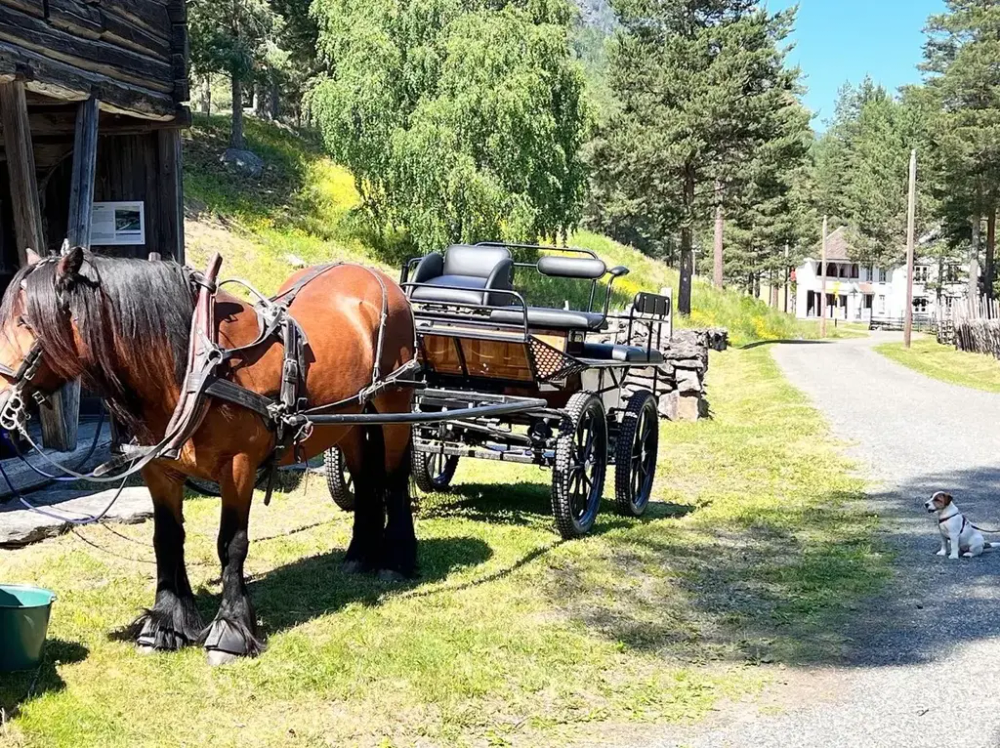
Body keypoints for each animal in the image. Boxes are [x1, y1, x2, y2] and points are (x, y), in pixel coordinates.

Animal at [0, 248, 416, 664]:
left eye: (25, 321)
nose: (2, 403)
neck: (196, 366)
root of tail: (375, 277)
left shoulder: (239, 466)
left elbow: (231, 543)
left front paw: (230, 629)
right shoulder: (159, 469)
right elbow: (167, 538)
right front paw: (166, 624)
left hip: (395, 405)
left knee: (394, 479)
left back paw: (397, 560)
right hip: (348, 420)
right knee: (364, 479)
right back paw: (359, 554)